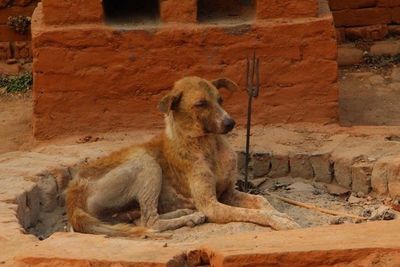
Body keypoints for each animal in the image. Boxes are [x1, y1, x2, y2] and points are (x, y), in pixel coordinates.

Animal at [65, 76, 298, 238]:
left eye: (220, 100)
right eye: (201, 104)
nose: (231, 123)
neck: (208, 145)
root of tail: (73, 192)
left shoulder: (228, 193)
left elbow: (262, 201)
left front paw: (281, 215)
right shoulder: (211, 205)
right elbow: (255, 214)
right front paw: (282, 222)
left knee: (140, 219)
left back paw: (184, 213)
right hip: (146, 163)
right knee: (150, 221)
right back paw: (191, 216)